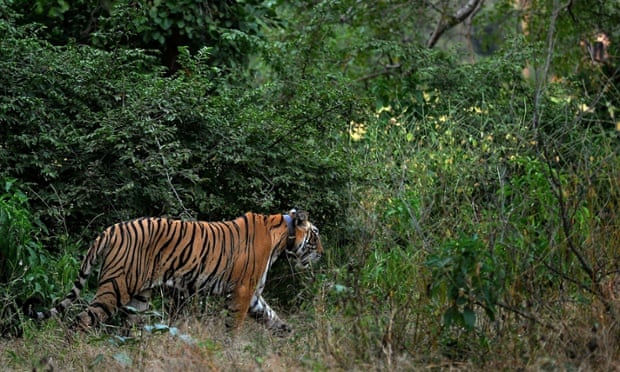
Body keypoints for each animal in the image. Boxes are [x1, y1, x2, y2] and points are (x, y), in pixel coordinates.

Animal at [26, 209, 322, 334]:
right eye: (316, 235)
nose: (321, 252)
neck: (283, 237)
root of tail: (109, 229)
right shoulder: (241, 291)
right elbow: (233, 328)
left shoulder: (254, 296)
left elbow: (273, 317)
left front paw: (290, 335)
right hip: (115, 288)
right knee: (80, 321)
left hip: (139, 298)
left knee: (128, 328)